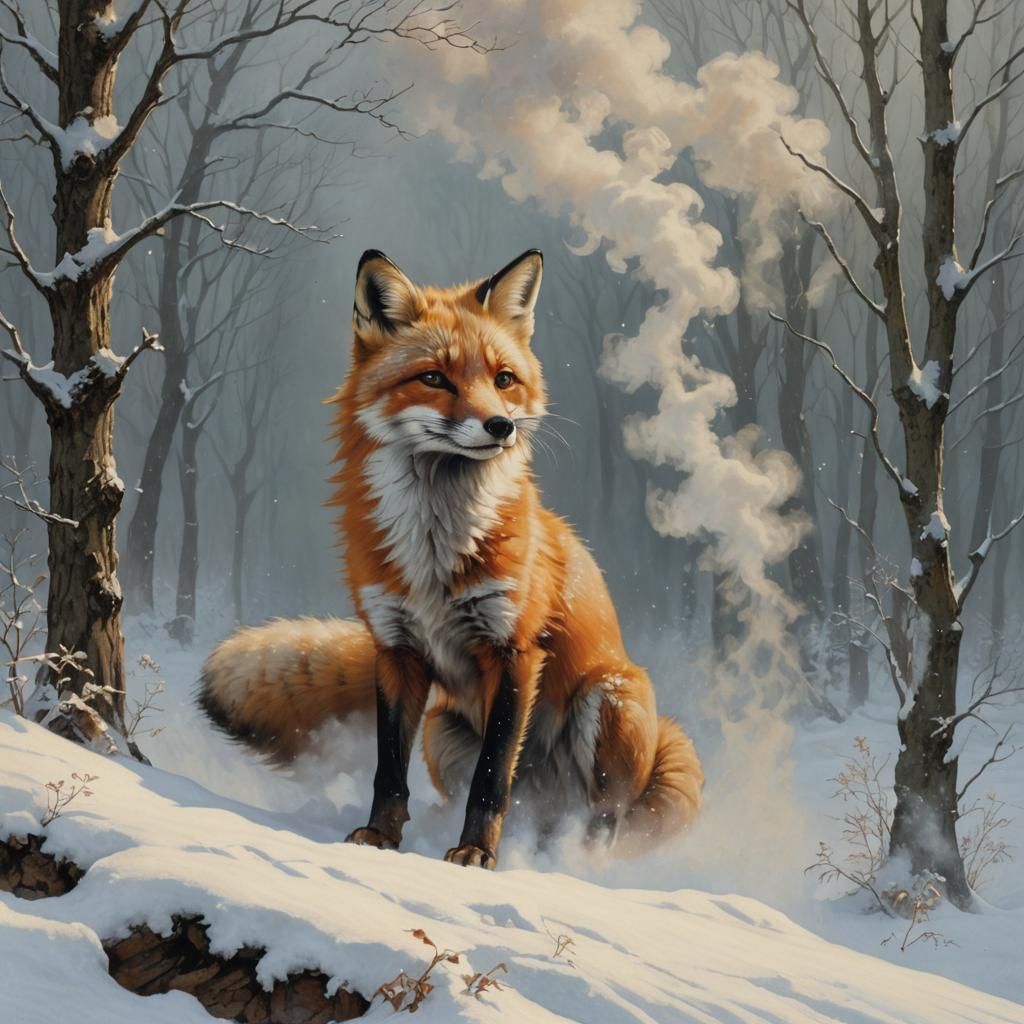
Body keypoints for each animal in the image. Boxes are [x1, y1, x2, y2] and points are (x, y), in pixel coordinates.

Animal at [199, 248, 703, 868]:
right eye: (434, 378)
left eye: (504, 379)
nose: (500, 426)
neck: (435, 553)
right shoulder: (396, 649)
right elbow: (389, 770)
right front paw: (381, 839)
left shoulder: (514, 650)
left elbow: (492, 780)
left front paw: (475, 856)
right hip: (443, 730)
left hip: (609, 698)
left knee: (599, 819)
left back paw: (572, 862)